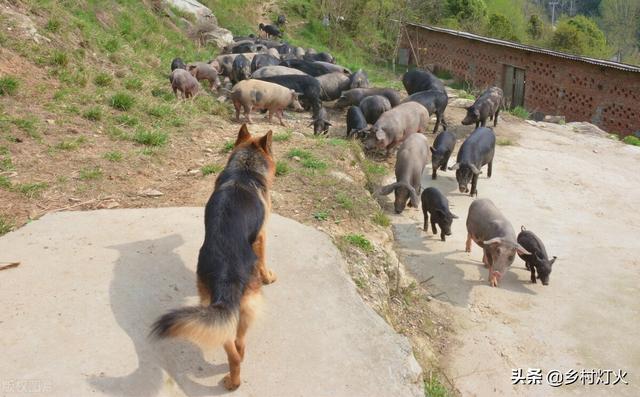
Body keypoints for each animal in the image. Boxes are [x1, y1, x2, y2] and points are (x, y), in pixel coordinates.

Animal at [154, 124, 278, 390]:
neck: (245, 167)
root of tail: (225, 272)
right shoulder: (262, 235)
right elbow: (264, 258)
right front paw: (268, 276)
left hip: (224, 307)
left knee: (236, 345)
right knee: (235, 347)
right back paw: (234, 381)